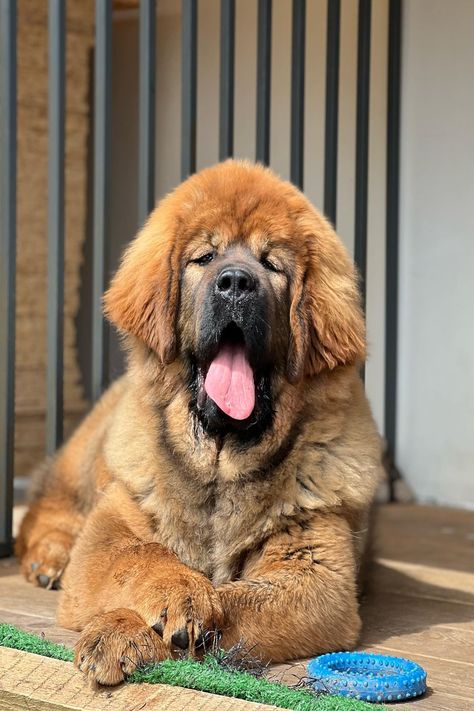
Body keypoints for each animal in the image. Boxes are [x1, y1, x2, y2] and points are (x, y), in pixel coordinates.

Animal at [16, 160, 384, 684]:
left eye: (272, 264)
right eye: (204, 258)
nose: (235, 283)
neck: (220, 462)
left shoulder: (317, 573)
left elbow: (237, 601)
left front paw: (131, 630)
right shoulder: (106, 540)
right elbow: (145, 557)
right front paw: (175, 597)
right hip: (87, 460)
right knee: (48, 508)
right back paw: (49, 558)